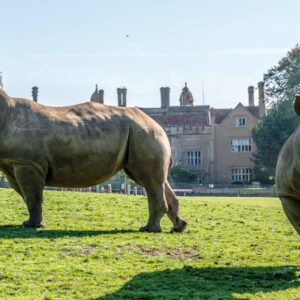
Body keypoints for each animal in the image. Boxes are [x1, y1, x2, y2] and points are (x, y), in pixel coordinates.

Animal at [0, 89, 186, 232]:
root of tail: (157, 124)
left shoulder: (27, 163)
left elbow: (32, 196)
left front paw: (32, 226)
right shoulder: (14, 163)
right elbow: (26, 195)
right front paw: (31, 223)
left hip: (144, 133)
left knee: (149, 182)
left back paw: (148, 229)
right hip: (143, 134)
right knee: (155, 181)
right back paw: (178, 227)